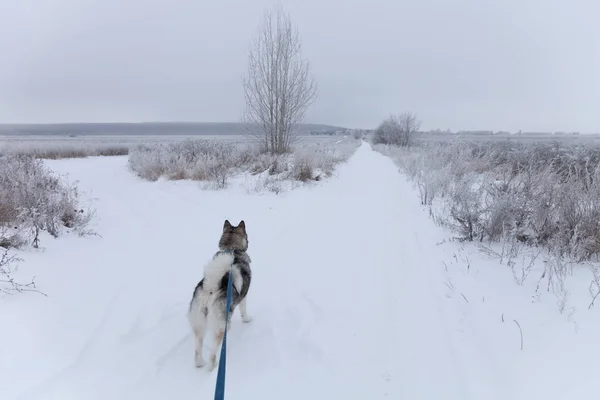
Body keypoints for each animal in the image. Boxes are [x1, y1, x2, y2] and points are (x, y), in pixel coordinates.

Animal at [189, 220, 252, 370]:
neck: (232, 249)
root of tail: (210, 288)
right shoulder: (244, 296)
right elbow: (244, 310)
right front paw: (247, 319)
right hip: (221, 326)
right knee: (212, 352)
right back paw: (213, 367)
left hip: (199, 323)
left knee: (197, 349)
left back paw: (200, 363)